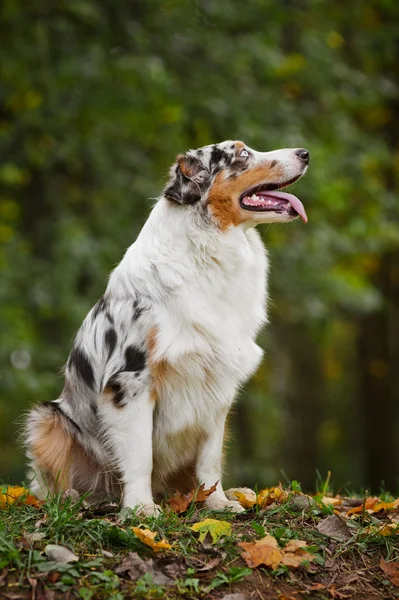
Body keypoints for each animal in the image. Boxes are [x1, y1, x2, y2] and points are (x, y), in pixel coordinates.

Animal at [24, 141, 310, 516]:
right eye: (242, 154)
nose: (305, 153)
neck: (208, 250)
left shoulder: (218, 383)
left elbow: (210, 458)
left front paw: (216, 502)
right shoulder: (133, 380)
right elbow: (140, 455)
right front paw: (140, 509)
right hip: (46, 418)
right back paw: (78, 499)